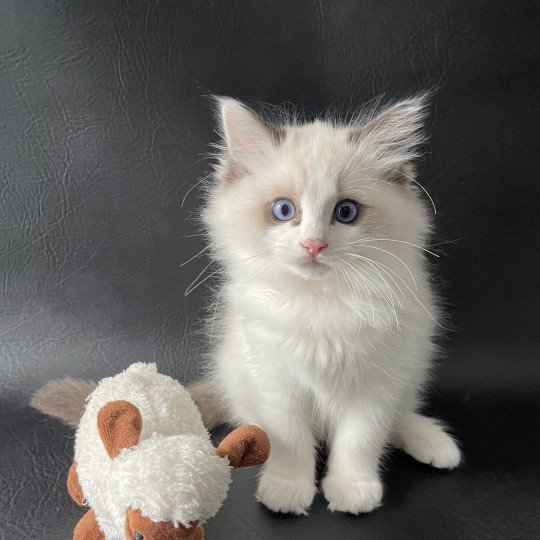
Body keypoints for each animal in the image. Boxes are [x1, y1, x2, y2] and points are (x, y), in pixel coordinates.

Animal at [190, 96, 460, 516]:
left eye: (345, 212)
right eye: (284, 210)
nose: (313, 245)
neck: (322, 304)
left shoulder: (375, 386)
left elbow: (360, 441)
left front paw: (353, 492)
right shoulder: (277, 383)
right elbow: (290, 441)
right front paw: (286, 491)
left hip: (411, 368)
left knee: (398, 418)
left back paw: (435, 444)